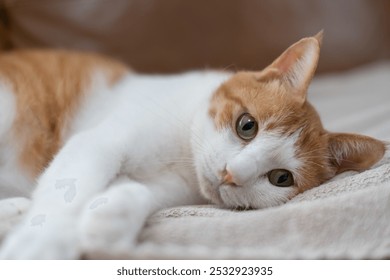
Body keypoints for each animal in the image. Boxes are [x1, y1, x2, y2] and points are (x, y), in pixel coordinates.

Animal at [0, 32, 386, 258]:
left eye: (281, 178)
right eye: (247, 126)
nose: (231, 174)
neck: (183, 153)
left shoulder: (170, 186)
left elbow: (135, 191)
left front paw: (109, 221)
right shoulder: (99, 143)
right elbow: (69, 192)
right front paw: (40, 245)